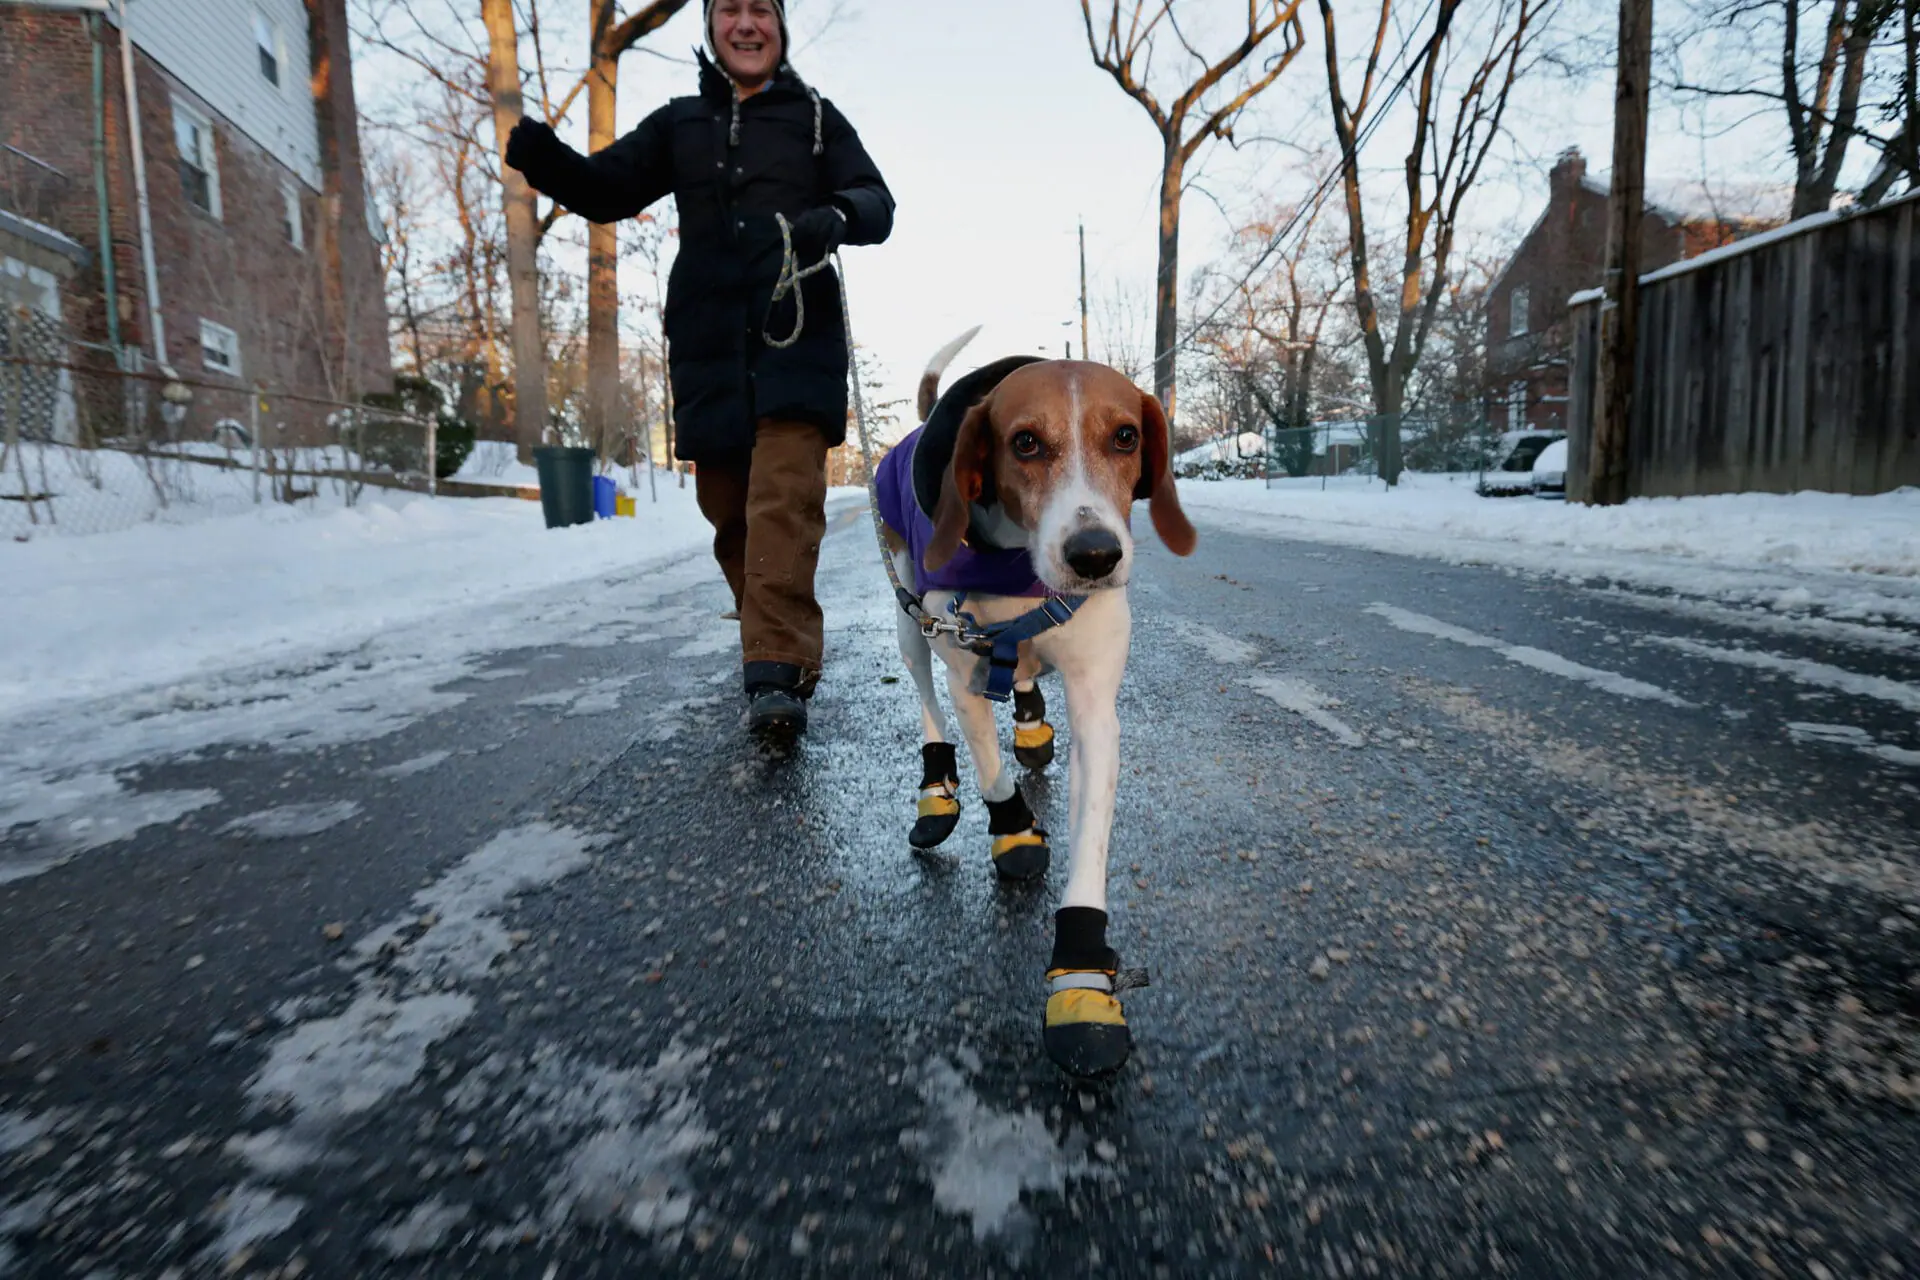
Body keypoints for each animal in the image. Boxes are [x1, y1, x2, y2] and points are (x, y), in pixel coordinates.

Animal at [875, 333, 1198, 1082]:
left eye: (1126, 436)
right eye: (1024, 442)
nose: (1095, 555)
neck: (1019, 572)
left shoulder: (1096, 709)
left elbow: (1089, 849)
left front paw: (1080, 980)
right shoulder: (962, 668)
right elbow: (991, 772)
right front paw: (1015, 830)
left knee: (1020, 681)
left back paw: (1029, 722)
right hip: (908, 618)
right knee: (927, 702)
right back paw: (935, 788)